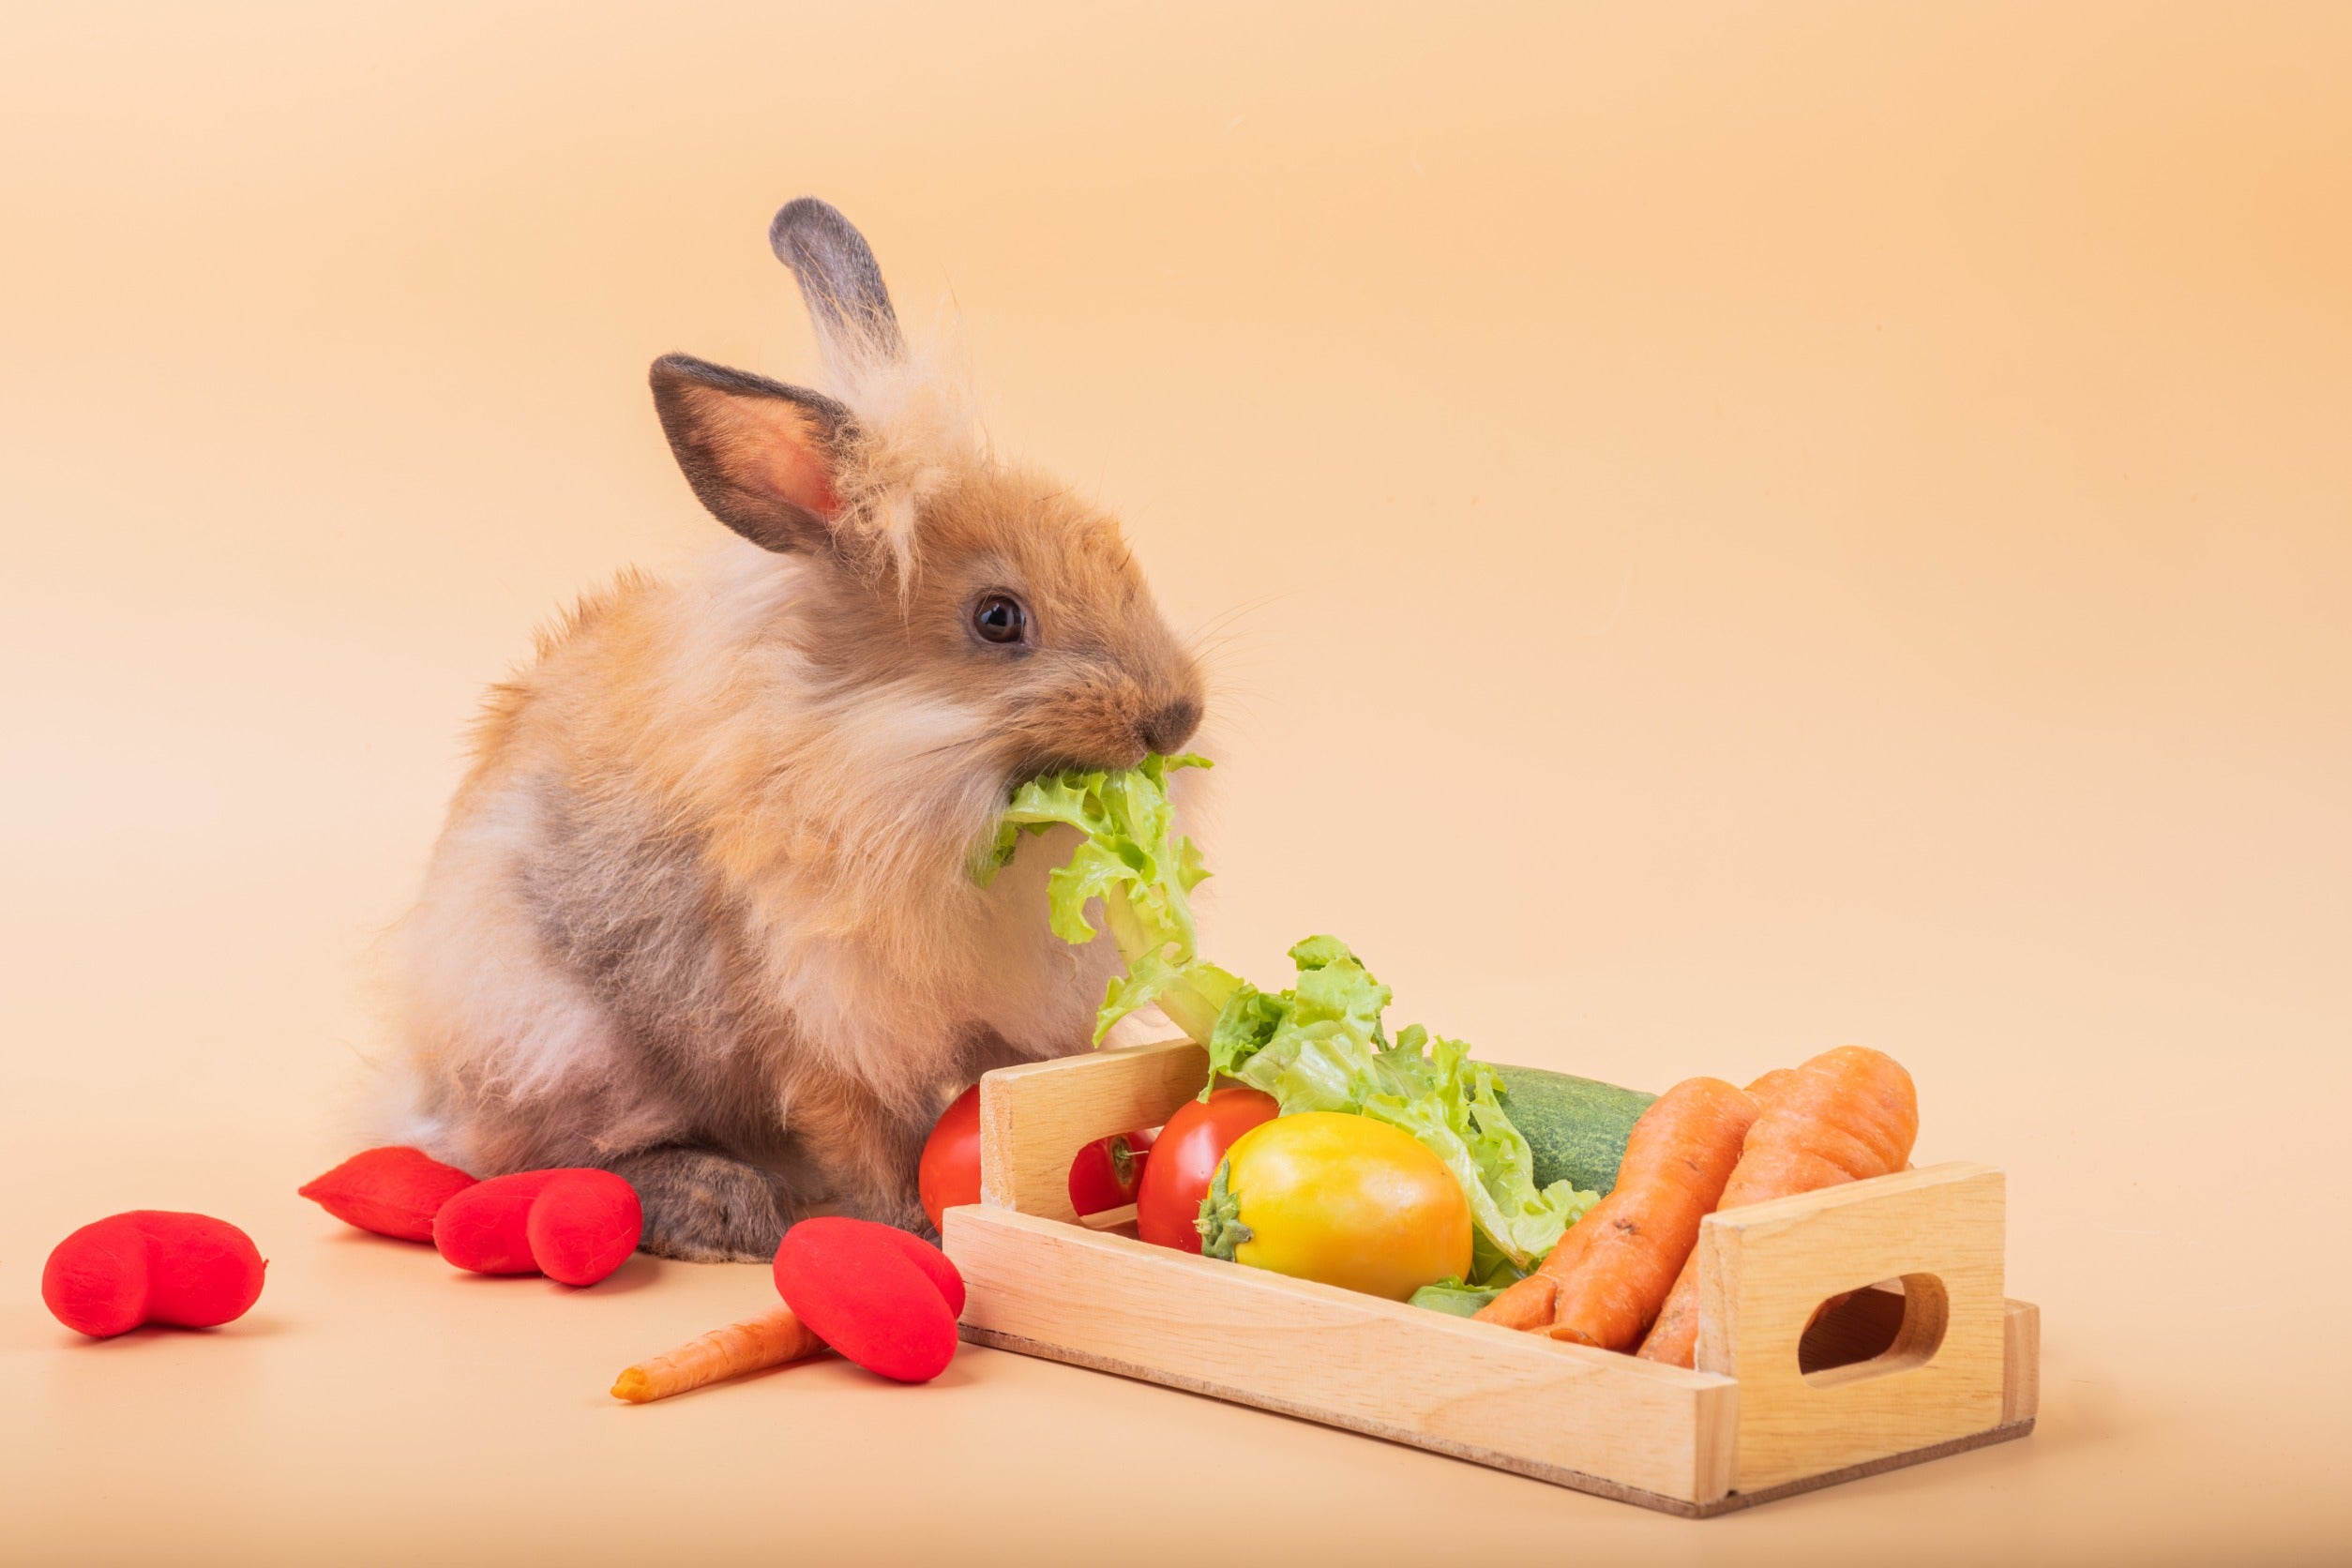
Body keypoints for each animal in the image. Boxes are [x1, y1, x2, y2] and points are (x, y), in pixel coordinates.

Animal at [385, 202, 1204, 1259]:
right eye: (997, 619)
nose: (1177, 716)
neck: (869, 747)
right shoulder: (819, 1026)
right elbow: (865, 1137)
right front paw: (918, 1231)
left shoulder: (1030, 1028)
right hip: (559, 1040)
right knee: (534, 1155)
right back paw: (714, 1204)